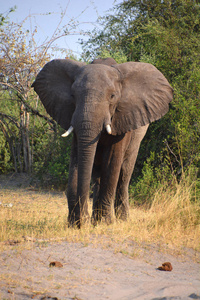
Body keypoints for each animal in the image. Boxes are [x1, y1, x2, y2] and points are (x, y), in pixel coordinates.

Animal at [32, 57, 173, 227]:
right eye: (73, 95)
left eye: (112, 96)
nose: (82, 221)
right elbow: (77, 159)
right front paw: (75, 223)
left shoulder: (122, 119)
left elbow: (112, 163)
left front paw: (106, 223)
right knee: (97, 176)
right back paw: (95, 220)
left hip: (136, 140)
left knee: (124, 175)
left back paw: (121, 220)